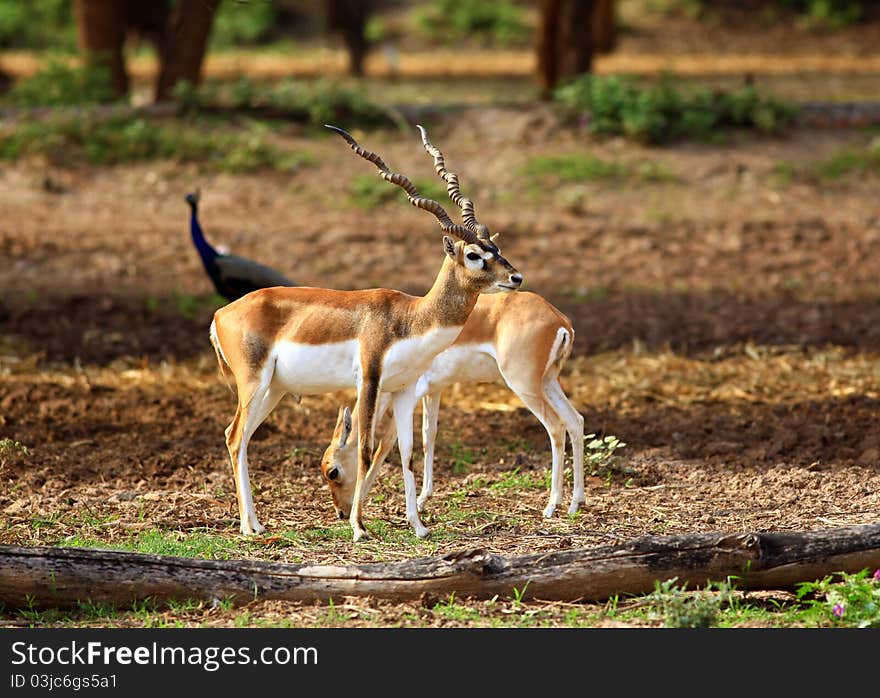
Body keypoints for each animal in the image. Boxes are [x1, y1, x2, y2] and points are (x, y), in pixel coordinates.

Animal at [209, 123, 520, 540]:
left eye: (496, 249)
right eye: (473, 255)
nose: (516, 278)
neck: (411, 317)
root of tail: (221, 313)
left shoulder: (404, 389)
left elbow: (406, 453)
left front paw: (418, 527)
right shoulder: (369, 380)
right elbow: (366, 450)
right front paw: (359, 528)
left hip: (273, 390)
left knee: (240, 437)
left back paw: (257, 523)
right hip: (253, 383)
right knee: (234, 435)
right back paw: (247, 527)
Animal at [318, 288, 584, 520]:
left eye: (333, 471)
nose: (341, 513)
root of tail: (559, 319)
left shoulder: (409, 395)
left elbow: (384, 445)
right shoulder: (433, 391)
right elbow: (429, 437)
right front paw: (423, 499)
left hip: (525, 386)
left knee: (556, 426)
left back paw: (551, 506)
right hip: (548, 383)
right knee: (575, 421)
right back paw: (574, 504)